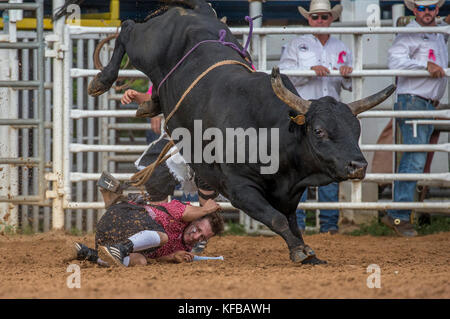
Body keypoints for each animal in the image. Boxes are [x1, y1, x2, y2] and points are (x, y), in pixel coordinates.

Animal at [86, 0, 396, 264]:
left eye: (355, 129)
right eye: (319, 131)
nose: (358, 165)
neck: (272, 133)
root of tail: (196, 11)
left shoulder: (290, 193)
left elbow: (291, 221)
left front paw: (307, 251)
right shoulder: (240, 188)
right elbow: (276, 219)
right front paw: (299, 251)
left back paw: (149, 103)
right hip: (146, 45)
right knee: (127, 28)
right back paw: (102, 79)